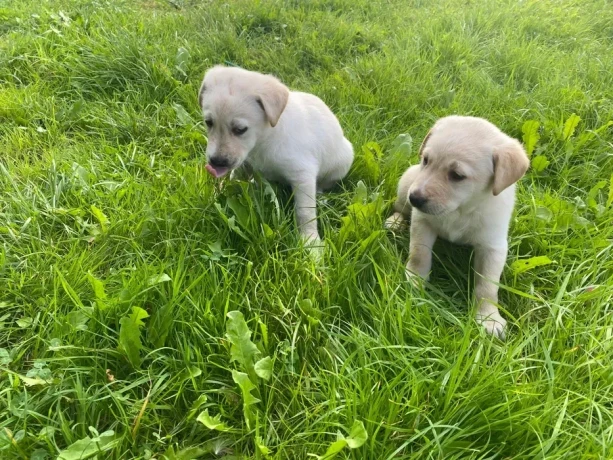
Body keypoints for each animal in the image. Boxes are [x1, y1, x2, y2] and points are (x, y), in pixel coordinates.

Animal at [200, 64, 354, 248]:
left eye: (240, 130)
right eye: (209, 122)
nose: (216, 162)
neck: (264, 141)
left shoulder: (303, 175)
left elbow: (305, 212)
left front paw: (311, 242)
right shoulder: (245, 163)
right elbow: (232, 178)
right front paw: (217, 194)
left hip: (343, 160)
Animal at [384, 115, 528, 338]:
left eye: (457, 175)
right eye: (426, 160)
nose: (415, 198)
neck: (461, 209)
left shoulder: (493, 246)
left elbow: (487, 285)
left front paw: (489, 318)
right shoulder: (422, 222)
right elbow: (419, 254)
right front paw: (415, 280)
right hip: (407, 180)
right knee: (401, 207)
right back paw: (396, 221)